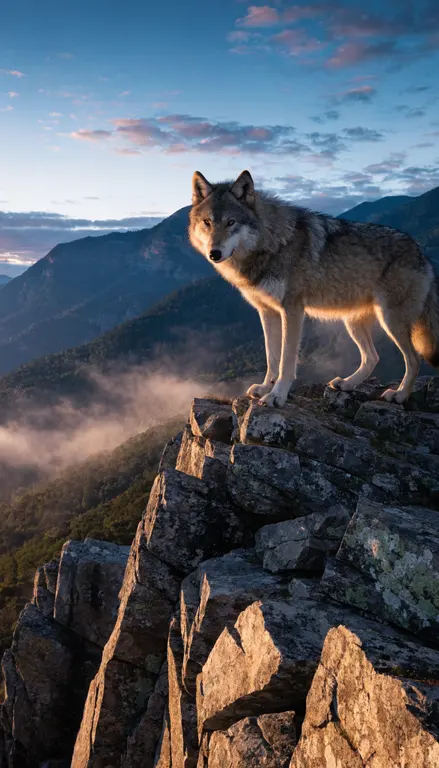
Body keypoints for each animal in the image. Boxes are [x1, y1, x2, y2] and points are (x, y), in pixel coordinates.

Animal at [188, 169, 439, 407]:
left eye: (231, 223)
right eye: (207, 223)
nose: (214, 253)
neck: (272, 242)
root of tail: (421, 253)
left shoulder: (292, 310)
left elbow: (286, 360)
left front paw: (276, 395)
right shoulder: (267, 312)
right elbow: (271, 356)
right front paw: (265, 387)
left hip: (391, 321)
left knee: (414, 359)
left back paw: (399, 395)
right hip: (353, 322)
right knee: (372, 357)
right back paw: (347, 383)